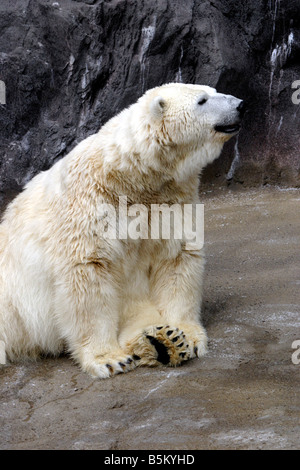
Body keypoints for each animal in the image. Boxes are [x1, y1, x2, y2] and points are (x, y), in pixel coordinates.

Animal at [0, 82, 244, 376]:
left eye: (213, 91)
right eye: (202, 100)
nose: (240, 104)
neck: (133, 178)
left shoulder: (170, 201)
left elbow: (175, 259)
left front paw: (182, 336)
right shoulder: (91, 203)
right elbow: (89, 273)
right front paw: (109, 358)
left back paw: (160, 342)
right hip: (10, 306)